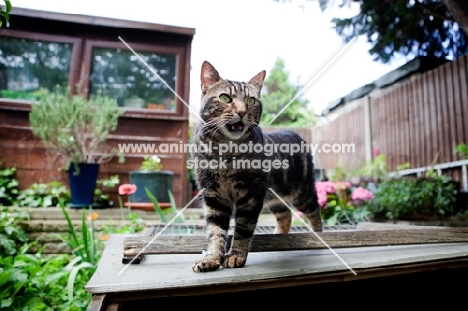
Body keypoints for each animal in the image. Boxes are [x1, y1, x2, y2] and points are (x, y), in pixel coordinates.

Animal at [191, 61, 322, 272]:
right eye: (225, 97)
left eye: (251, 101)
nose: (242, 112)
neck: (226, 153)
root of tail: (296, 134)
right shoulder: (213, 195)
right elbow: (215, 231)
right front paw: (211, 258)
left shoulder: (251, 195)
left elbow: (242, 229)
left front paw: (236, 256)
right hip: (275, 197)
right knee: (285, 215)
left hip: (303, 193)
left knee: (315, 211)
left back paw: (318, 237)